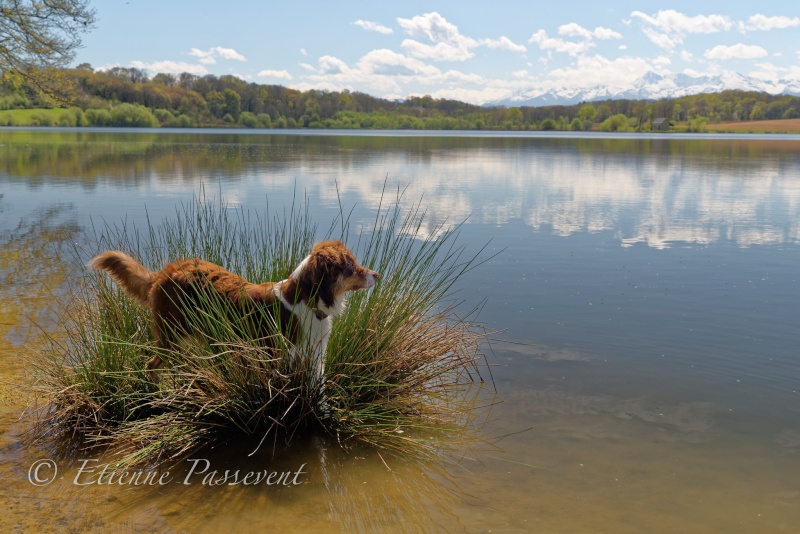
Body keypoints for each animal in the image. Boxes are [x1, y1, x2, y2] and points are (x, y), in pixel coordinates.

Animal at [92, 243, 380, 386]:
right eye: (352, 266)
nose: (377, 274)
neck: (307, 301)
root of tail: (164, 272)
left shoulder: (315, 356)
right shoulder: (280, 356)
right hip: (172, 333)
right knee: (151, 365)